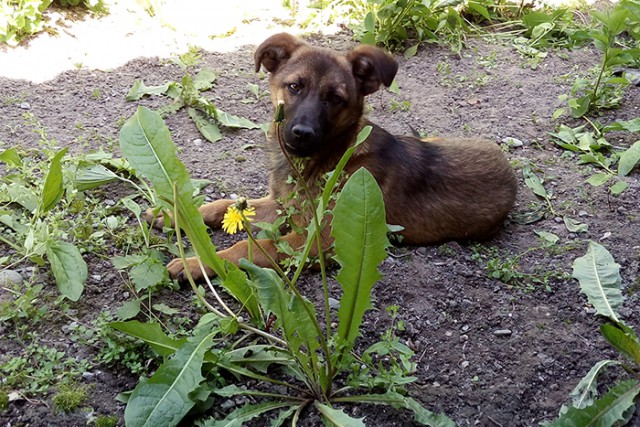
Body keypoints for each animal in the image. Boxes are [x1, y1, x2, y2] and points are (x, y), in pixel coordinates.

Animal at [152, 32, 516, 280]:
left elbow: (253, 247)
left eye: (335, 98)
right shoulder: (281, 205)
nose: (302, 133)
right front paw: (173, 214)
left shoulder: (323, 239)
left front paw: (200, 263)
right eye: (294, 87)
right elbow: (222, 206)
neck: (322, 161)